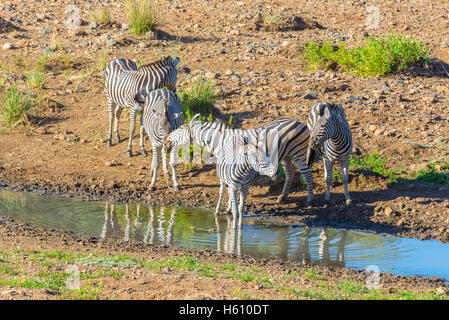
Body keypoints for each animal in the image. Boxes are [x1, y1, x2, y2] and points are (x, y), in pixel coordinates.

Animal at [164, 115, 316, 208]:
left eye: (180, 128)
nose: (166, 140)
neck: (221, 141)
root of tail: (299, 122)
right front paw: (229, 207)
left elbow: (231, 187)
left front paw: (229, 207)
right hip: (286, 156)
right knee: (290, 173)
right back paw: (281, 197)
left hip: (299, 154)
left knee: (307, 175)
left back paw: (310, 200)